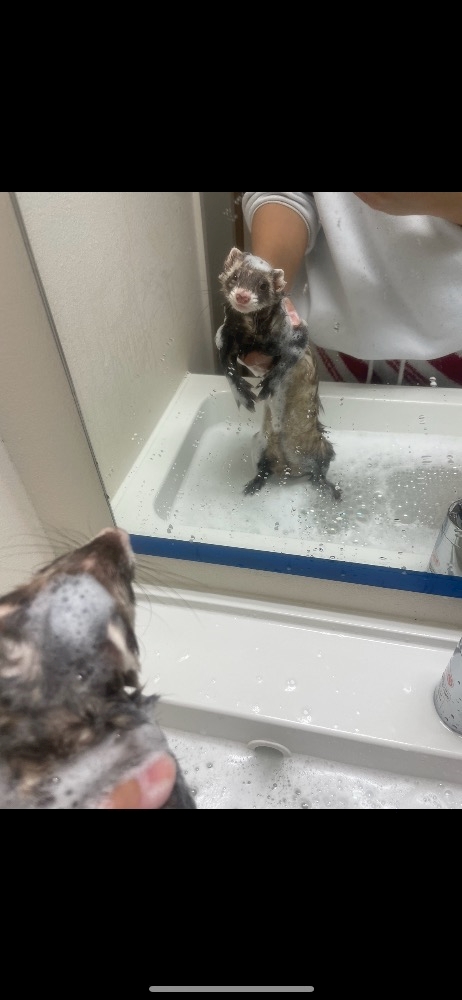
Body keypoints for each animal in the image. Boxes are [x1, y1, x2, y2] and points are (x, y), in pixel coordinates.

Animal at [216, 247, 341, 499]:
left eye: (263, 285)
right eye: (235, 276)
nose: (242, 296)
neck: (253, 336)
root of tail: (290, 470)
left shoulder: (296, 337)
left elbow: (287, 360)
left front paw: (270, 383)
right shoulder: (227, 337)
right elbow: (226, 365)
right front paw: (242, 392)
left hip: (324, 448)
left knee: (320, 470)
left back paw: (329, 488)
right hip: (258, 445)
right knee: (264, 469)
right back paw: (254, 484)